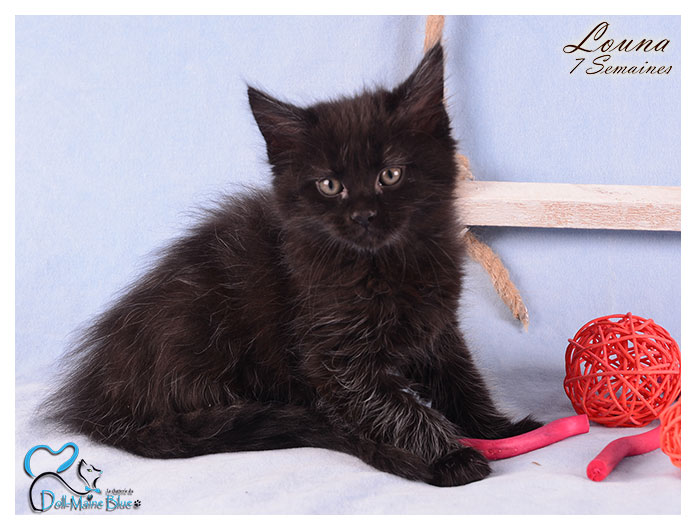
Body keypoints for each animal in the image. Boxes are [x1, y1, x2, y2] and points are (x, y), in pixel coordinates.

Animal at [46, 43, 540, 487]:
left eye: (390, 174)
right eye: (329, 185)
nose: (363, 215)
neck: (384, 266)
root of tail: (100, 401)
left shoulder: (437, 326)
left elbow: (462, 379)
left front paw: (499, 428)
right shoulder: (334, 355)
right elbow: (397, 407)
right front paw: (450, 455)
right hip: (197, 334)